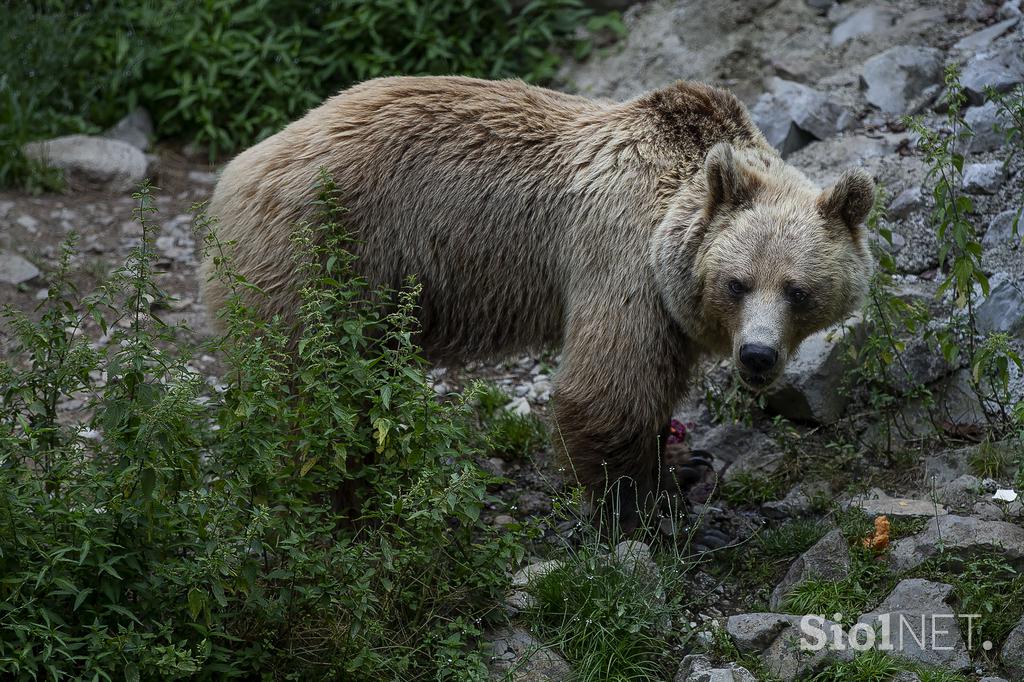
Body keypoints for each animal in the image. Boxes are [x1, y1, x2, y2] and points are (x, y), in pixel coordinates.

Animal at [199, 76, 872, 528]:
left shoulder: (669, 307)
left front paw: (682, 462)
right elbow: (607, 391)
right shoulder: (621, 260)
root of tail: (236, 172)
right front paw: (648, 510)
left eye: (798, 290)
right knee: (308, 391)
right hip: (321, 256)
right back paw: (330, 497)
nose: (757, 356)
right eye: (737, 283)